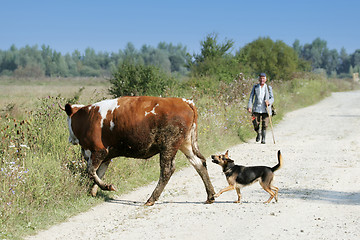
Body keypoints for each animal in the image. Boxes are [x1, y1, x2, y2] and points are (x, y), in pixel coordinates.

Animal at [60, 96, 215, 205]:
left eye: (68, 120)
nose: (69, 139)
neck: (88, 117)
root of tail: (184, 101)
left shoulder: (98, 151)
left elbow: (91, 171)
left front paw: (107, 187)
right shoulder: (106, 156)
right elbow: (99, 173)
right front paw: (94, 191)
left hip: (169, 146)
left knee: (167, 171)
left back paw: (151, 199)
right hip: (185, 144)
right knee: (199, 164)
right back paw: (210, 195)